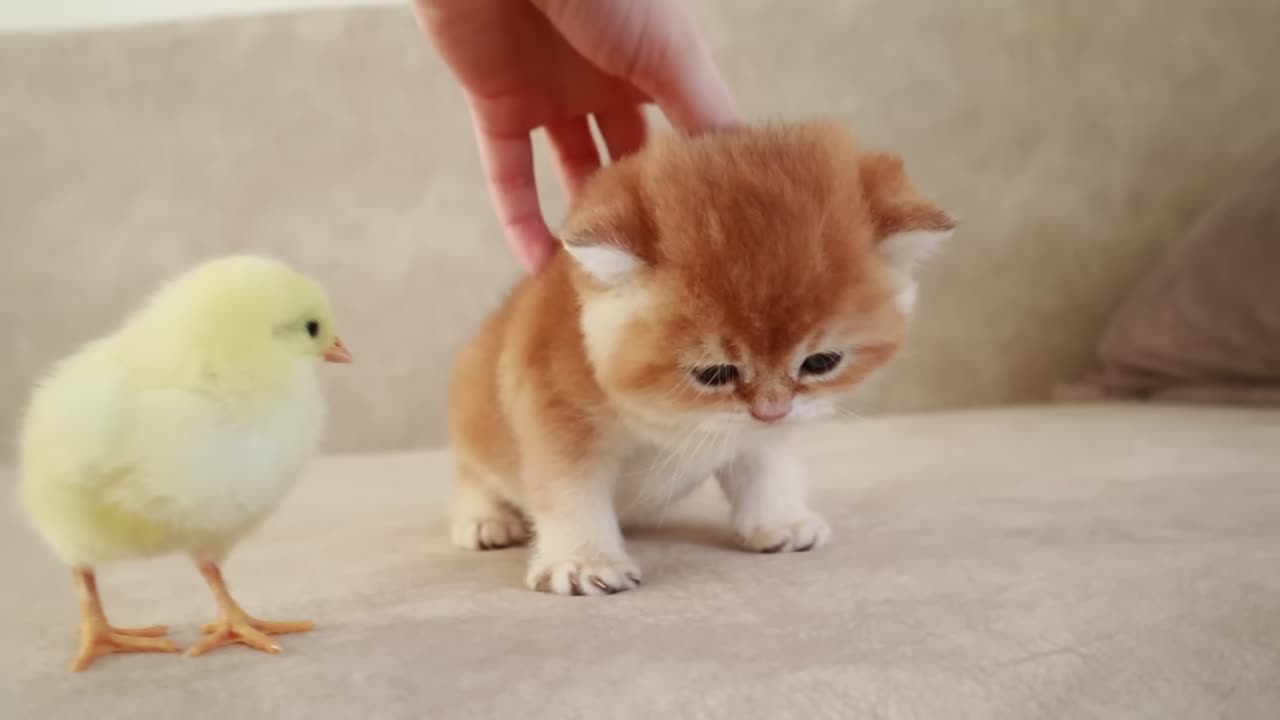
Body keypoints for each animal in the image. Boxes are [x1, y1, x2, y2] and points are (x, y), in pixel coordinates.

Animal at [445, 121, 957, 594]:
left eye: (820, 363)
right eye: (714, 374)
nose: (772, 411)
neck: (668, 414)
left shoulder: (758, 432)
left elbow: (765, 463)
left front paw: (779, 521)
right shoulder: (553, 405)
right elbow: (569, 490)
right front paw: (583, 561)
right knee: (472, 471)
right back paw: (486, 519)